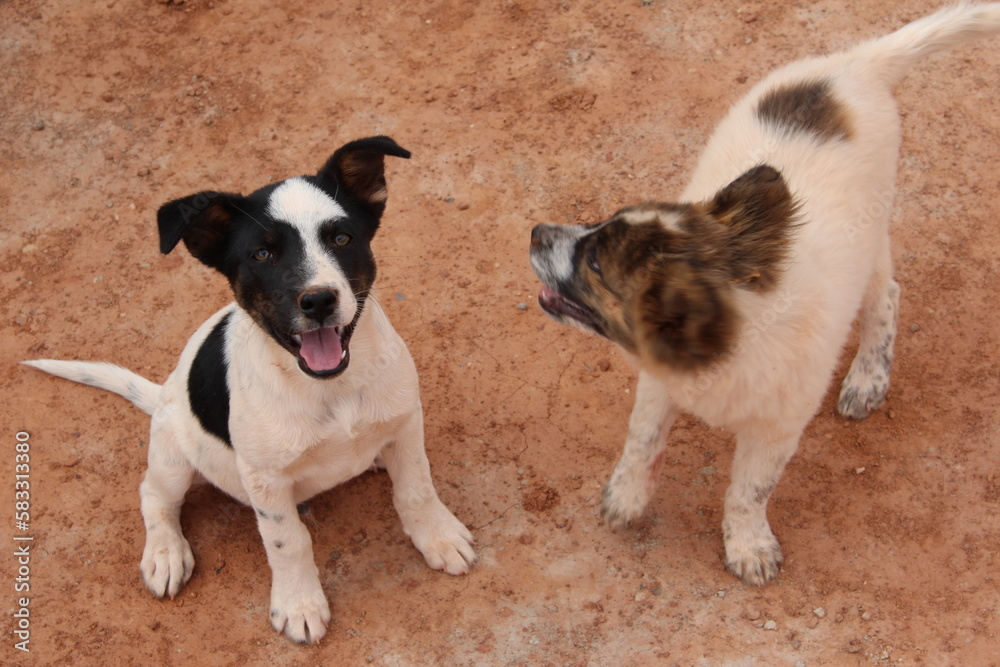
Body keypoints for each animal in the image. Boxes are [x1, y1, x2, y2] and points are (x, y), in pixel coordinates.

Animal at [24, 136, 476, 640]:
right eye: (262, 255)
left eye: (341, 238)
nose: (318, 301)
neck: (330, 391)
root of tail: (162, 393)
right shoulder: (266, 479)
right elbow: (288, 541)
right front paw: (299, 603)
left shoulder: (405, 422)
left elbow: (417, 487)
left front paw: (437, 537)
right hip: (173, 455)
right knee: (154, 495)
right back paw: (165, 553)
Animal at [532, 3, 1000, 584]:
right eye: (600, 223)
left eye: (595, 262)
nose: (535, 232)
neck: (723, 359)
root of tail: (855, 63)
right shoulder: (659, 381)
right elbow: (642, 440)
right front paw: (626, 498)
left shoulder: (777, 429)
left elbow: (750, 491)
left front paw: (748, 545)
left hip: (873, 240)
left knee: (887, 297)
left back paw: (868, 377)